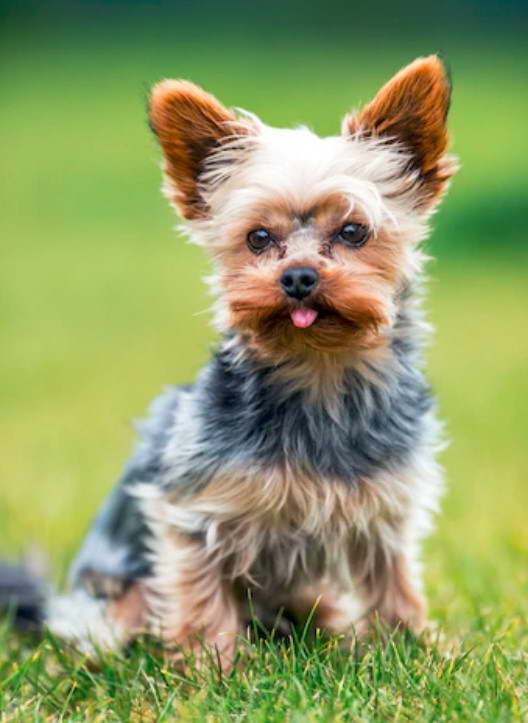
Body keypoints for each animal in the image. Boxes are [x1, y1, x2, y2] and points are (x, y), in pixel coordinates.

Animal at [2, 55, 456, 668]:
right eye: (258, 237)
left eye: (354, 231)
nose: (298, 277)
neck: (318, 372)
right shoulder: (192, 513)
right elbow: (200, 597)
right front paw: (210, 668)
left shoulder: (387, 507)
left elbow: (396, 583)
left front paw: (414, 647)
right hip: (107, 604)